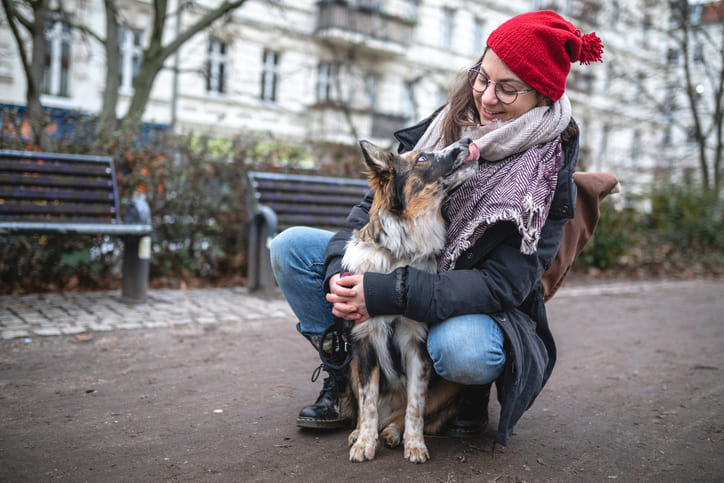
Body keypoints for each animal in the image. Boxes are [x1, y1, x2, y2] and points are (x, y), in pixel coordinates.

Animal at [338, 138, 480, 464]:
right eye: (423, 157)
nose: (467, 141)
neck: (399, 254)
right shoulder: (365, 343)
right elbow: (368, 403)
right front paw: (364, 443)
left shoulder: (417, 346)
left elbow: (415, 405)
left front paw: (414, 445)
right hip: (351, 364)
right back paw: (362, 432)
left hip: (449, 383)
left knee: (401, 414)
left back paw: (392, 432)